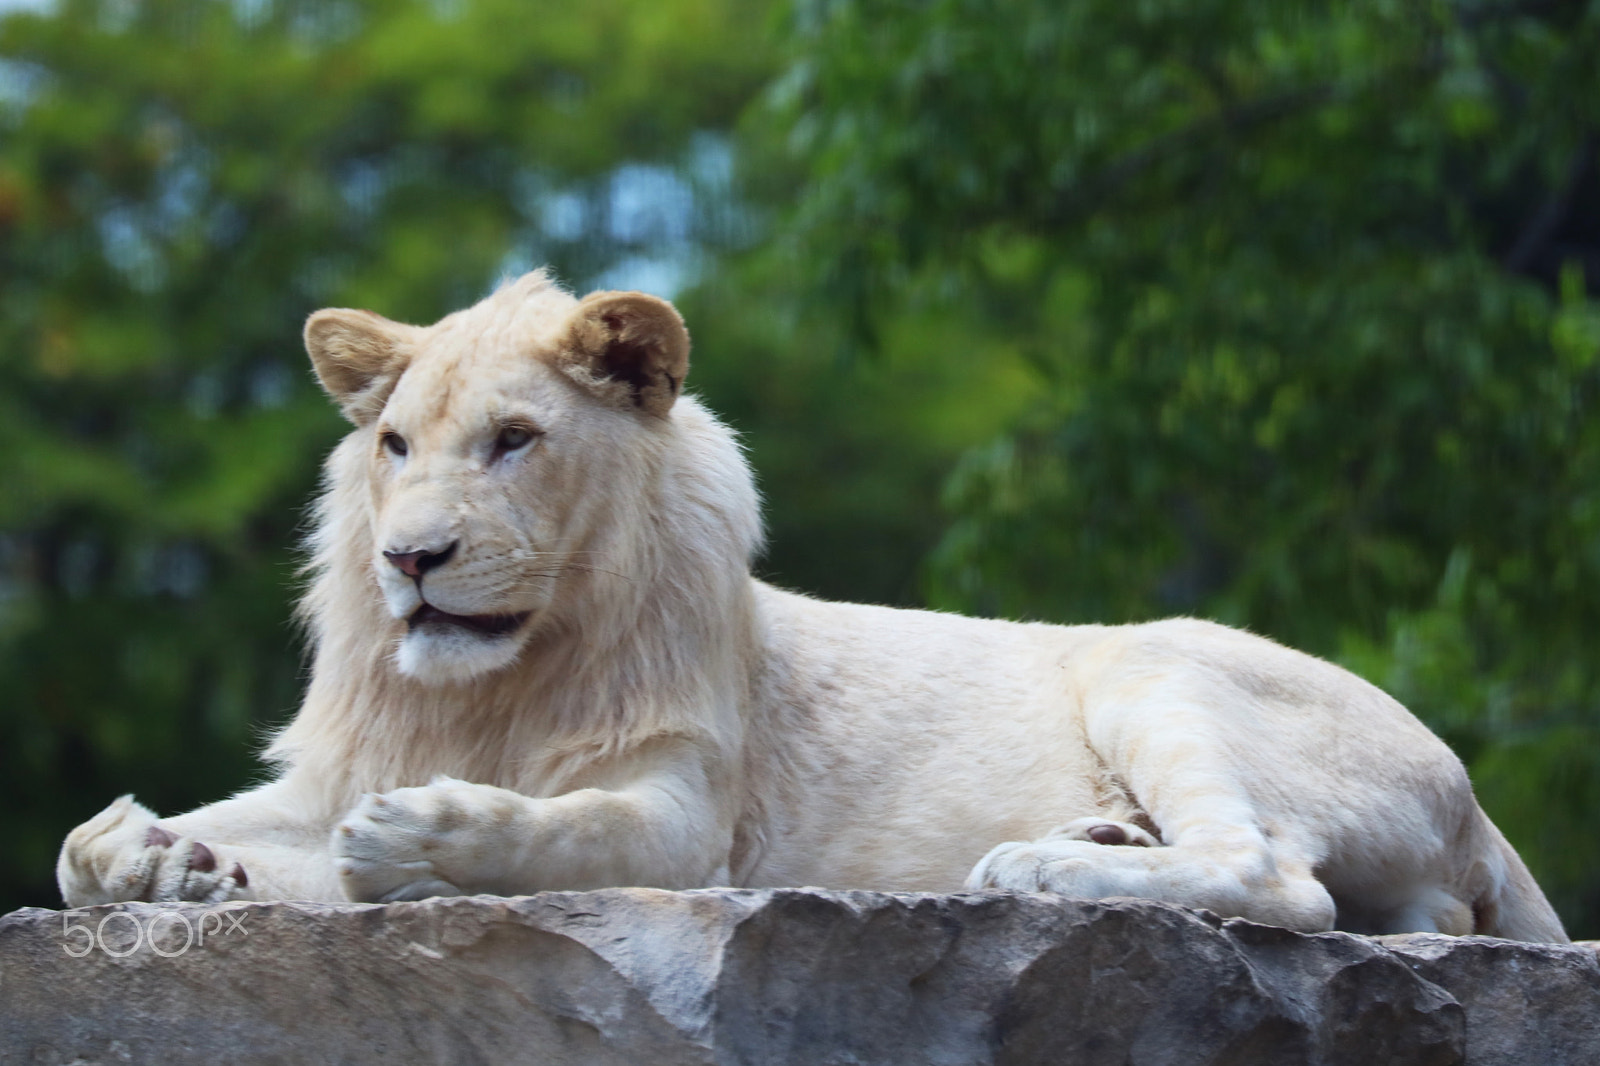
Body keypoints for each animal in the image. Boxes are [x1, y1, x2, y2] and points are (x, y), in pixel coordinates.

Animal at [58, 271, 1567, 942]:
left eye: (513, 441)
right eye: (393, 446)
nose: (412, 559)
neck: (500, 676)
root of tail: (1476, 802)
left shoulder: (689, 817)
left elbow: (559, 829)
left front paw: (421, 835)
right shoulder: (323, 774)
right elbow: (103, 849)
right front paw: (155, 857)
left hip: (1159, 670)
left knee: (1277, 879)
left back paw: (1038, 870)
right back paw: (1089, 835)